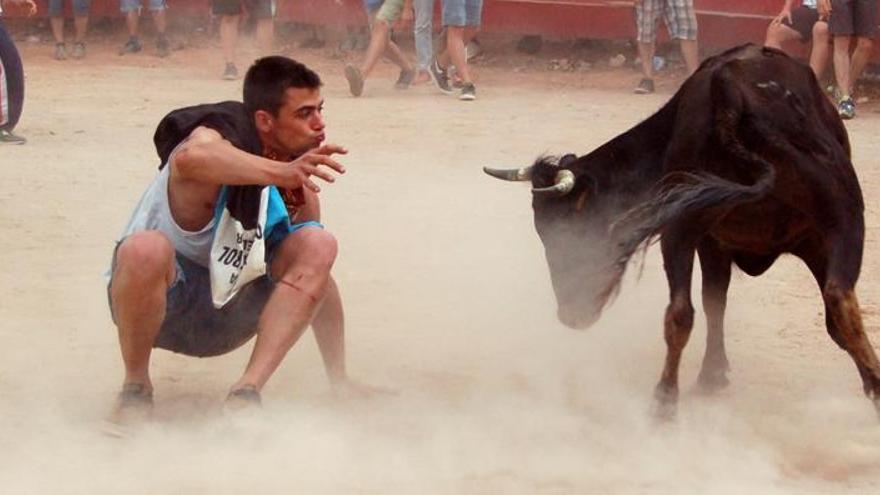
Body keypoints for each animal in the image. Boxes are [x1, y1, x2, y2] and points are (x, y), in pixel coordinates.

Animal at [484, 43, 880, 414]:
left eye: (567, 232)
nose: (570, 317)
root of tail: (730, 90)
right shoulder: (731, 241)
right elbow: (716, 302)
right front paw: (714, 374)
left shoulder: (719, 241)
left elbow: (713, 302)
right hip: (839, 217)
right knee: (837, 300)